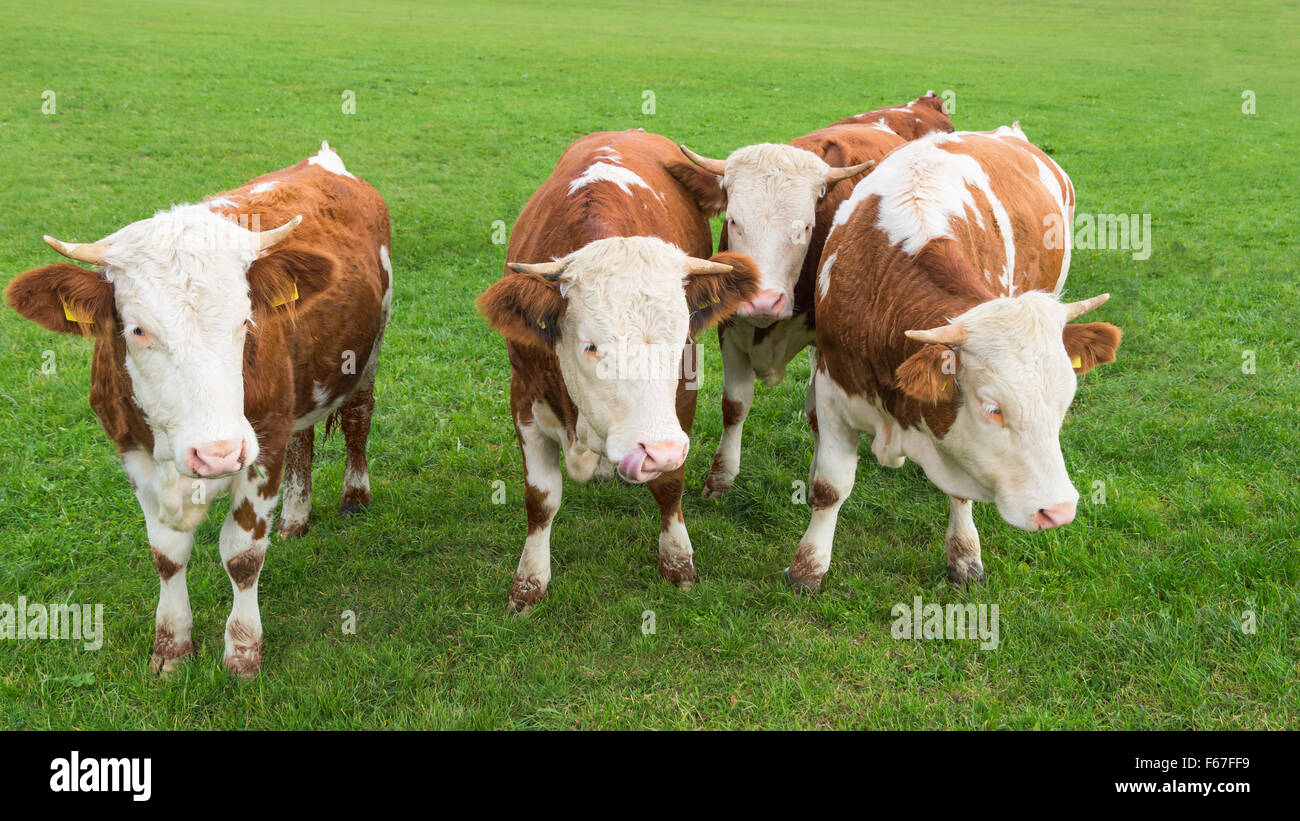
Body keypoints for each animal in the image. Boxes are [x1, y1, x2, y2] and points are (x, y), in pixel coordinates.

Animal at [6, 144, 390, 675]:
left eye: (246, 320)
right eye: (138, 329)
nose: (217, 454)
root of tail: (323, 160)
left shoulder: (262, 444)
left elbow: (243, 555)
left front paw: (243, 651)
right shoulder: (132, 451)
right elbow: (167, 554)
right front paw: (171, 646)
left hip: (368, 352)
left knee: (357, 416)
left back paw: (354, 495)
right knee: (305, 437)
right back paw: (295, 515)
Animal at [483, 128, 759, 613]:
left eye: (679, 341)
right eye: (591, 345)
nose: (656, 450)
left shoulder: (681, 399)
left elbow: (670, 484)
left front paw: (678, 562)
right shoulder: (523, 396)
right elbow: (541, 498)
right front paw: (529, 583)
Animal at [670, 92, 956, 496]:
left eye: (806, 227)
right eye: (733, 221)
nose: (763, 301)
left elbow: (819, 415)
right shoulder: (730, 329)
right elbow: (735, 404)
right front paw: (721, 477)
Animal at [785, 125, 1123, 589]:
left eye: (1064, 403)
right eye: (993, 408)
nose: (1058, 511)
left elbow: (961, 490)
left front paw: (964, 555)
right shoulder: (834, 389)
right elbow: (830, 487)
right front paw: (808, 567)